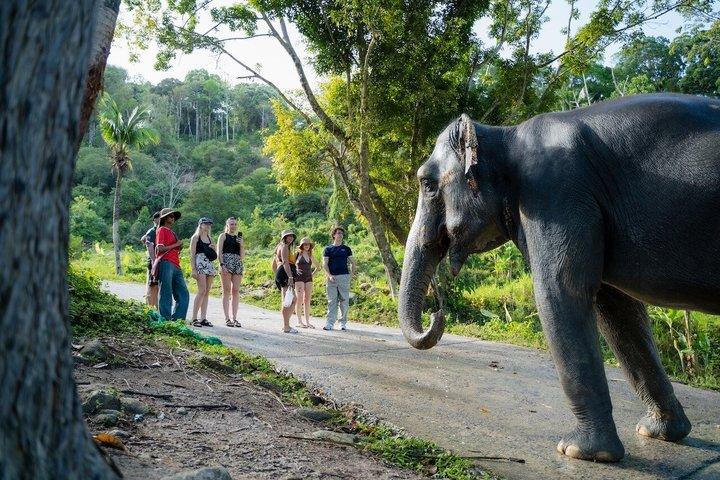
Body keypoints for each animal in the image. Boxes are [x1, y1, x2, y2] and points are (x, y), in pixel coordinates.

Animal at [398, 93, 720, 462]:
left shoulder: (555, 195)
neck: (506, 135)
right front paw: (657, 433)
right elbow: (615, 309)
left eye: (427, 184)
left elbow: (561, 291)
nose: (437, 312)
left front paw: (578, 451)